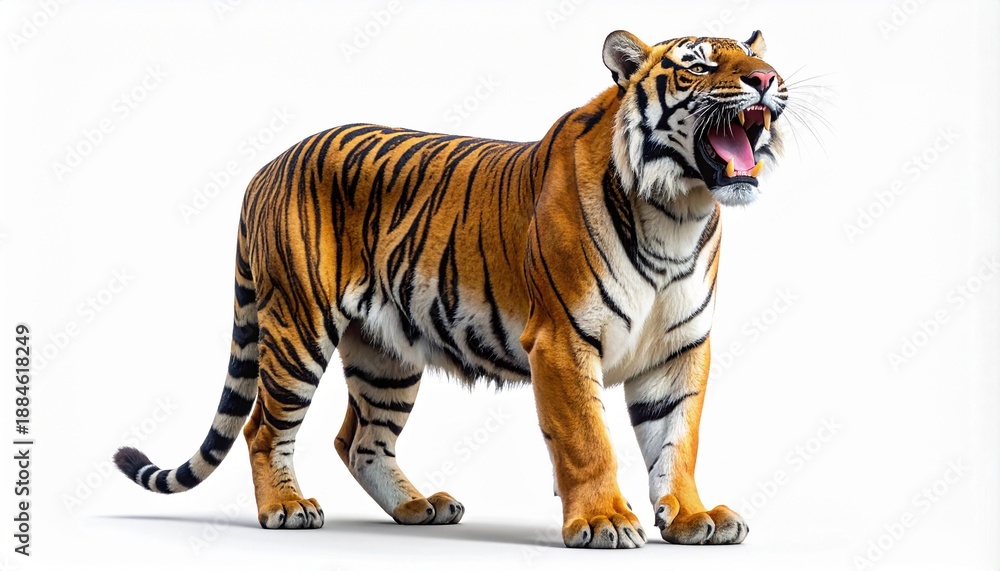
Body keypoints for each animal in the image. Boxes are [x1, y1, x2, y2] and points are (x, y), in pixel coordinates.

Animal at [114, 29, 787, 549]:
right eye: (698, 64)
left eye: (757, 61)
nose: (766, 79)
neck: (678, 212)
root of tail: (266, 166)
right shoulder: (563, 340)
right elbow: (587, 440)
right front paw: (603, 522)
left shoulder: (678, 348)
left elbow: (677, 438)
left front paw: (693, 517)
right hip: (298, 328)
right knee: (263, 428)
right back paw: (286, 508)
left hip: (385, 354)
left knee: (359, 439)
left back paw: (419, 508)